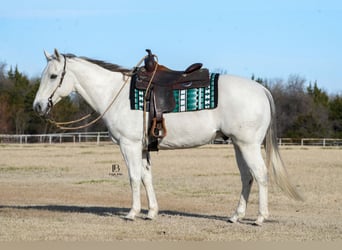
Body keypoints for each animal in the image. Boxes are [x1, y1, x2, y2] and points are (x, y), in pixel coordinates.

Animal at [33, 48, 302, 225]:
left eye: (53, 76)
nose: (38, 106)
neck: (115, 93)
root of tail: (262, 89)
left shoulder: (129, 146)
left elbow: (133, 177)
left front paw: (132, 213)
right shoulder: (142, 148)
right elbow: (146, 177)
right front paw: (151, 212)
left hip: (248, 145)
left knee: (261, 175)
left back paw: (260, 218)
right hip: (239, 145)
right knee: (247, 177)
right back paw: (236, 215)